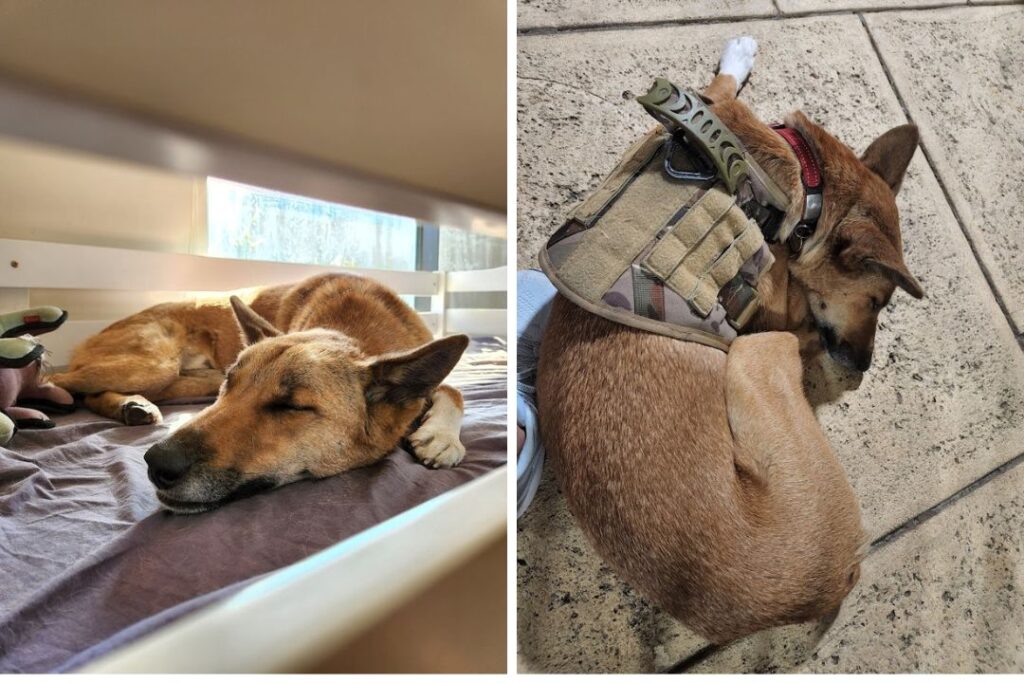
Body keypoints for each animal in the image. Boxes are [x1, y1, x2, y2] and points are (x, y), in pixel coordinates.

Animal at [51, 272, 471, 511]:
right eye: (231, 384)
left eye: (291, 406)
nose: (155, 463)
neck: (358, 333)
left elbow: (453, 390)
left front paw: (441, 437)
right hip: (154, 366)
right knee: (59, 381)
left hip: (180, 379)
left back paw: (131, 406)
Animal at [540, 36, 925, 647]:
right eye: (877, 302)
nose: (863, 367)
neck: (804, 171)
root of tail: (834, 580)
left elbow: (720, 82)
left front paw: (737, 54)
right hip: (756, 353)